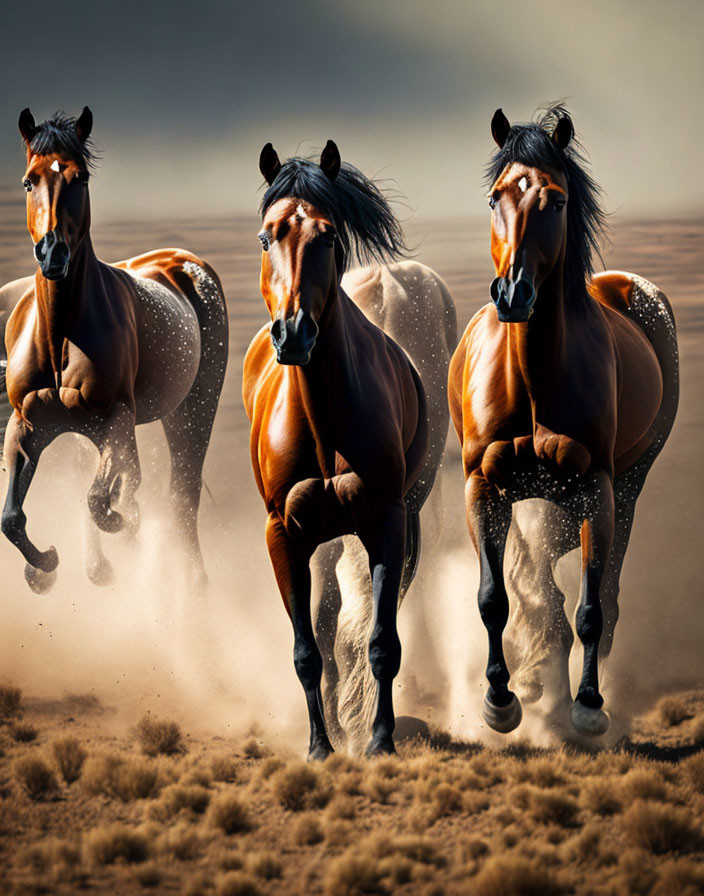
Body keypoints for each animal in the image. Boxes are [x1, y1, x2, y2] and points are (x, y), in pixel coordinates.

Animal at [2, 108, 227, 592]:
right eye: (29, 180)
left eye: (81, 177)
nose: (52, 254)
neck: (60, 340)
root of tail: (184, 262)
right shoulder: (27, 425)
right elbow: (11, 516)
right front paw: (45, 567)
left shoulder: (116, 420)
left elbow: (98, 502)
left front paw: (125, 527)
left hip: (193, 410)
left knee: (182, 495)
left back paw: (190, 580)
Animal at [242, 140, 428, 756]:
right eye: (266, 236)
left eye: (327, 236)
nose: (293, 332)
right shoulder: (283, 535)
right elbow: (306, 650)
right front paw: (320, 747)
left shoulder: (386, 521)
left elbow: (382, 642)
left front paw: (379, 741)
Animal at [448, 103, 680, 736]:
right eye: (495, 197)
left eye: (554, 200)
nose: (513, 293)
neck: (532, 378)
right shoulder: (484, 489)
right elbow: (493, 598)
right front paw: (500, 701)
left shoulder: (596, 491)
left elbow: (592, 607)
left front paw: (588, 705)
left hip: (627, 485)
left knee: (609, 587)